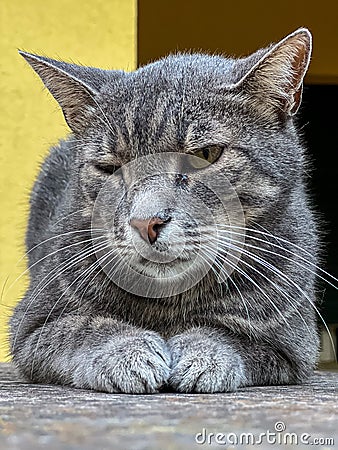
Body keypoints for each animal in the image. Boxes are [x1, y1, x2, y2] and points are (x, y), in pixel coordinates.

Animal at [9, 29, 322, 394]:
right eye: (110, 168)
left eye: (205, 154)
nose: (145, 222)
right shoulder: (30, 325)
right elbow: (82, 329)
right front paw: (129, 352)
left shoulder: (294, 343)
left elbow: (232, 335)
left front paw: (202, 354)